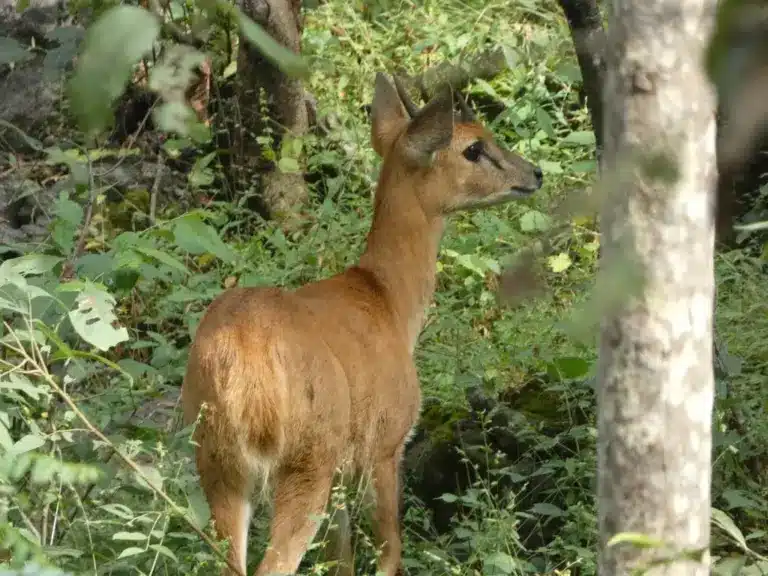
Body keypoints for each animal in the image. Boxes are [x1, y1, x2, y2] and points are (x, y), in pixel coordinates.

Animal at [181, 72, 543, 576]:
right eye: (474, 146)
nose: (534, 173)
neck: (388, 301)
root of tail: (240, 365)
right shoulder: (386, 445)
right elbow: (390, 553)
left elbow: (342, 560)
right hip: (307, 460)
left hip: (217, 462)